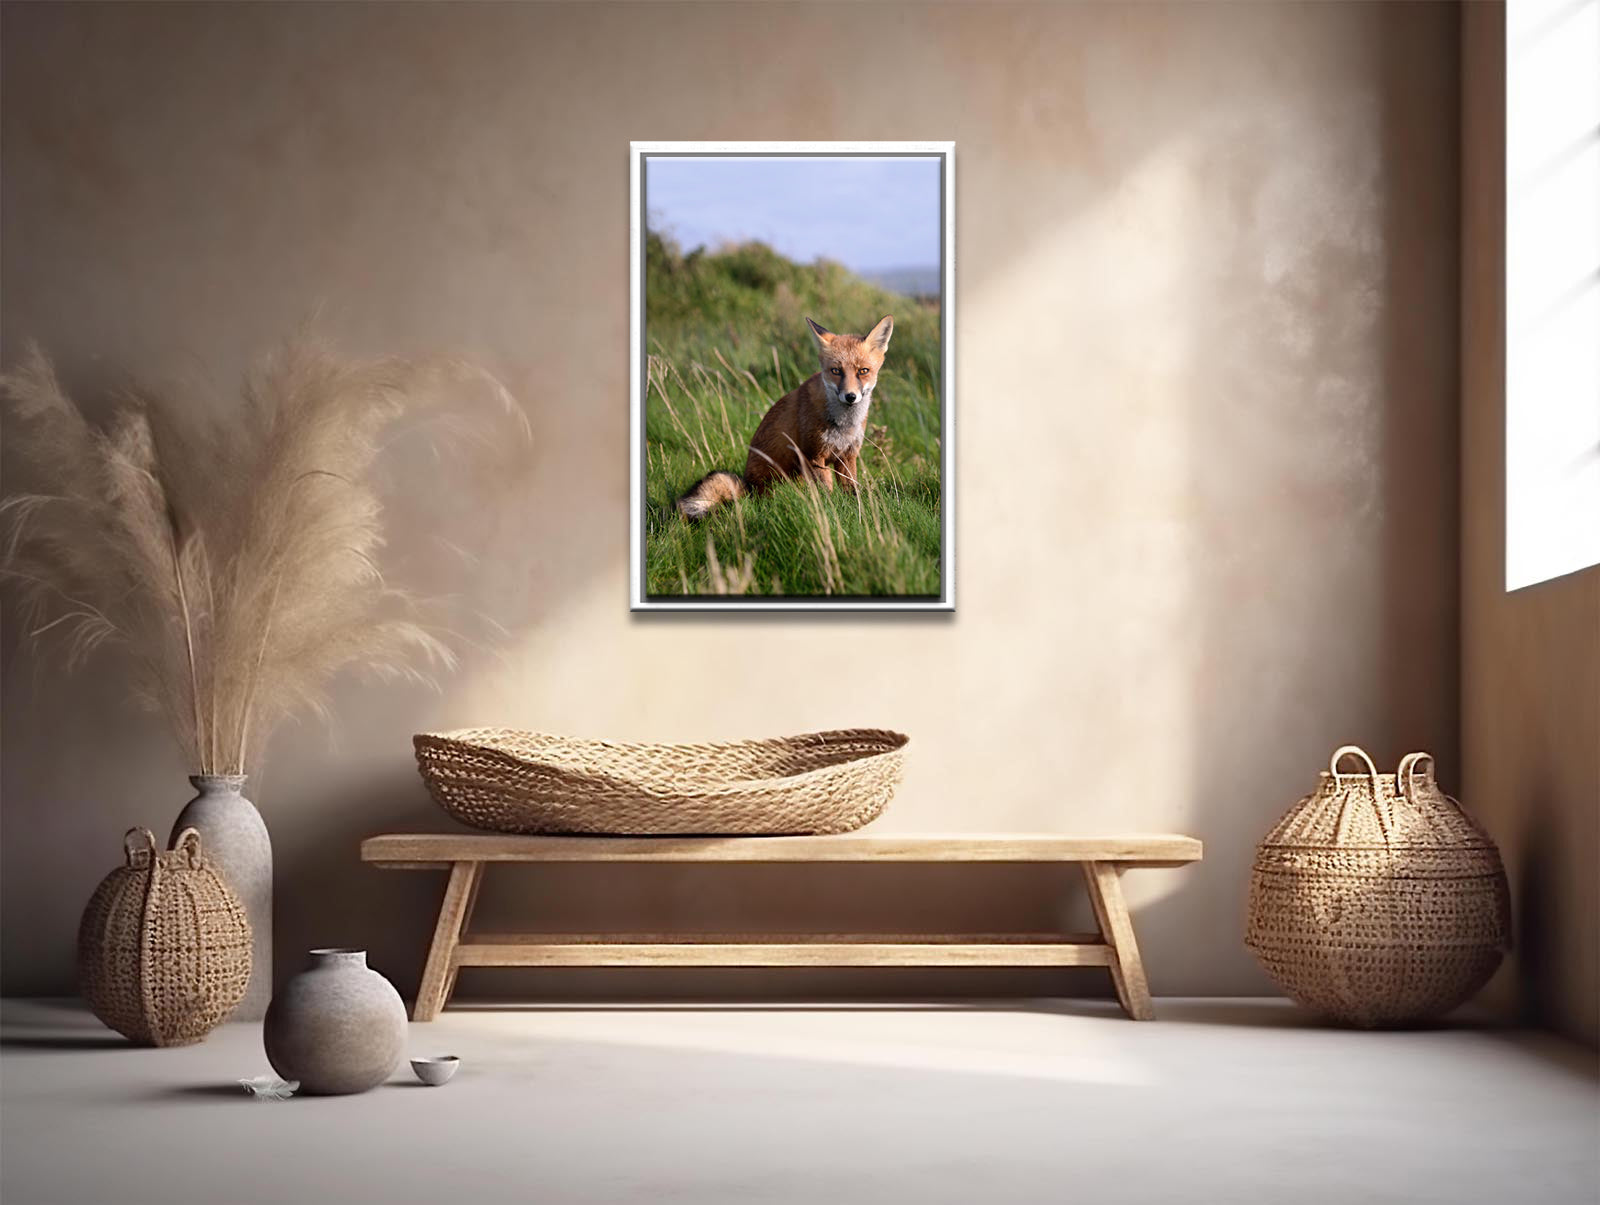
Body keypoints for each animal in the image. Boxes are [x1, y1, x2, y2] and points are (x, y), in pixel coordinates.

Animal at [675, 314, 894, 520]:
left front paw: (857, 512)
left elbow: (851, 491)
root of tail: (749, 487)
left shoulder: (847, 456)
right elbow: (827, 493)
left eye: (863, 371)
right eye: (836, 371)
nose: (850, 396)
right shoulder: (814, 456)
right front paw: (833, 514)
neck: (843, 424)